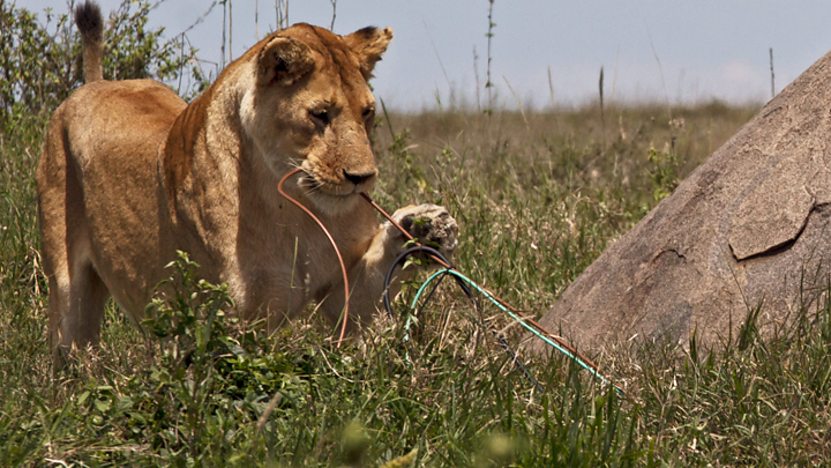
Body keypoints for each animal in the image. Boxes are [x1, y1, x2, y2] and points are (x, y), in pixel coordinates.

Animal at [37, 2, 458, 367]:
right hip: (68, 291)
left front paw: (424, 226)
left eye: (367, 112)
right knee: (70, 349)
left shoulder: (343, 297)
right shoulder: (234, 320)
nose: (362, 178)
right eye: (320, 114)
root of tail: (95, 85)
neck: (295, 207)